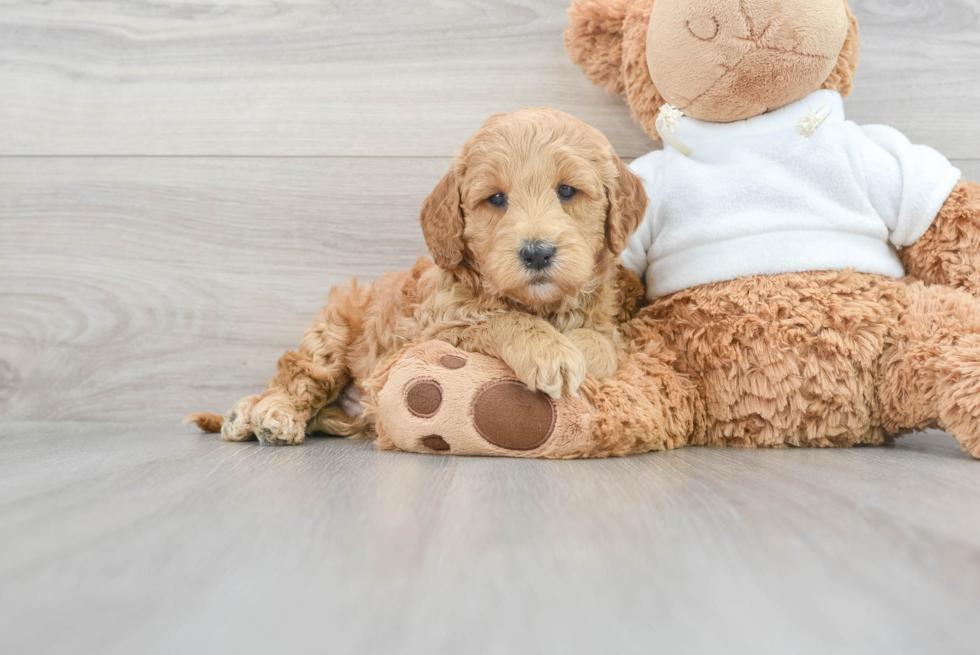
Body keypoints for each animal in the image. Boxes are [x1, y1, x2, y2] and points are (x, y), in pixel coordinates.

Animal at [189, 109, 652, 446]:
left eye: (567, 191)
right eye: (496, 199)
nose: (536, 252)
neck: (539, 303)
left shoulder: (604, 321)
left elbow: (604, 344)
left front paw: (577, 348)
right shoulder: (435, 329)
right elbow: (502, 320)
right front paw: (550, 352)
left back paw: (245, 414)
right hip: (332, 333)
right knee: (296, 375)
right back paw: (267, 415)